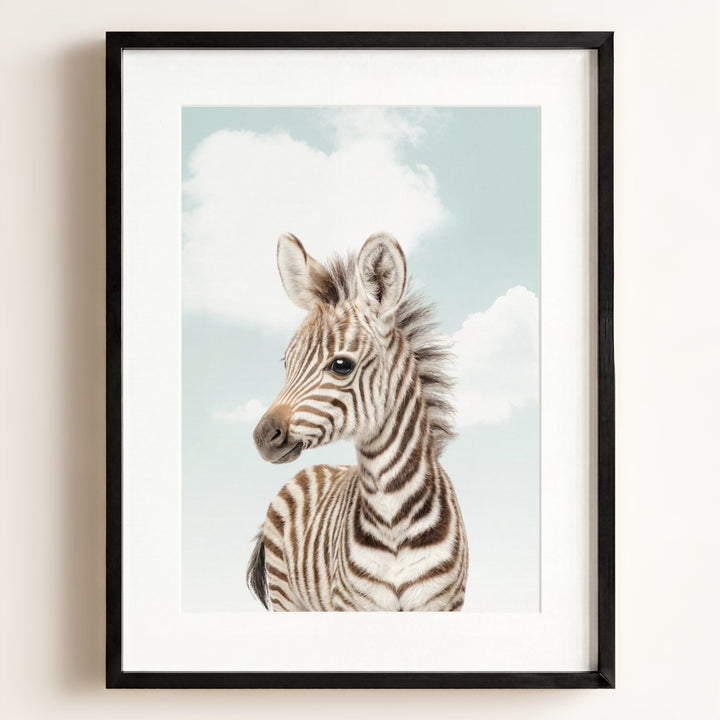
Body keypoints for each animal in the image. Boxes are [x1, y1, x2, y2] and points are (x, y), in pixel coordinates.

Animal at [247, 231, 469, 611]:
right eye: (287, 362)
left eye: (341, 365)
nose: (263, 436)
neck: (393, 516)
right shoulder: (354, 605)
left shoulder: (444, 604)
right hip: (286, 595)